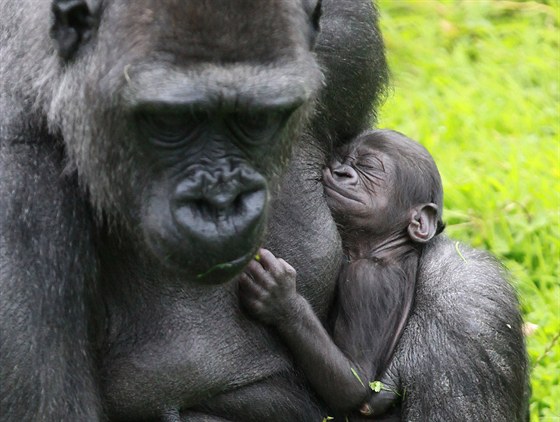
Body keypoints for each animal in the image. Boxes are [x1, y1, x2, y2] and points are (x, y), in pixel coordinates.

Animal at [238, 130, 444, 420]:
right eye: (342, 158)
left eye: (369, 167)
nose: (340, 172)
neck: (387, 248)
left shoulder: (365, 280)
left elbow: (354, 382)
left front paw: (281, 301)